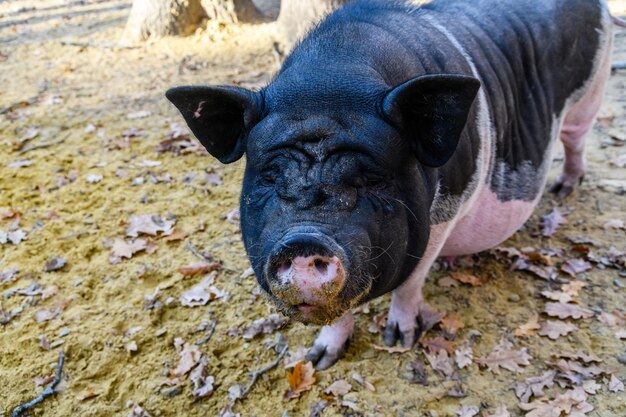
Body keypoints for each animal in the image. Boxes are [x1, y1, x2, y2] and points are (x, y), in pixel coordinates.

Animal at [163, 0, 612, 368]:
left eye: (371, 179)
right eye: (270, 176)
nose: (303, 243)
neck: (331, 80)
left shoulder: (446, 212)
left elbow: (412, 281)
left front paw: (400, 340)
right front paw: (318, 360)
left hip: (591, 93)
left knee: (576, 140)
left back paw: (564, 189)